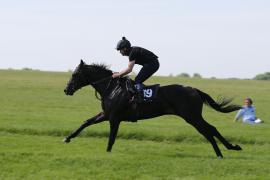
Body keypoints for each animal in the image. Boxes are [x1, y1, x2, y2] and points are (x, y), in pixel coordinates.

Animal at [63, 59, 243, 158]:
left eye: (75, 74)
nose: (66, 89)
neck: (111, 88)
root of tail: (194, 90)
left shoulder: (114, 118)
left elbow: (111, 138)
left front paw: (107, 153)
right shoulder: (106, 114)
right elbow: (86, 122)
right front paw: (67, 138)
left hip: (191, 116)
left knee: (209, 130)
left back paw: (224, 151)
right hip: (192, 117)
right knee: (209, 130)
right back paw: (225, 150)